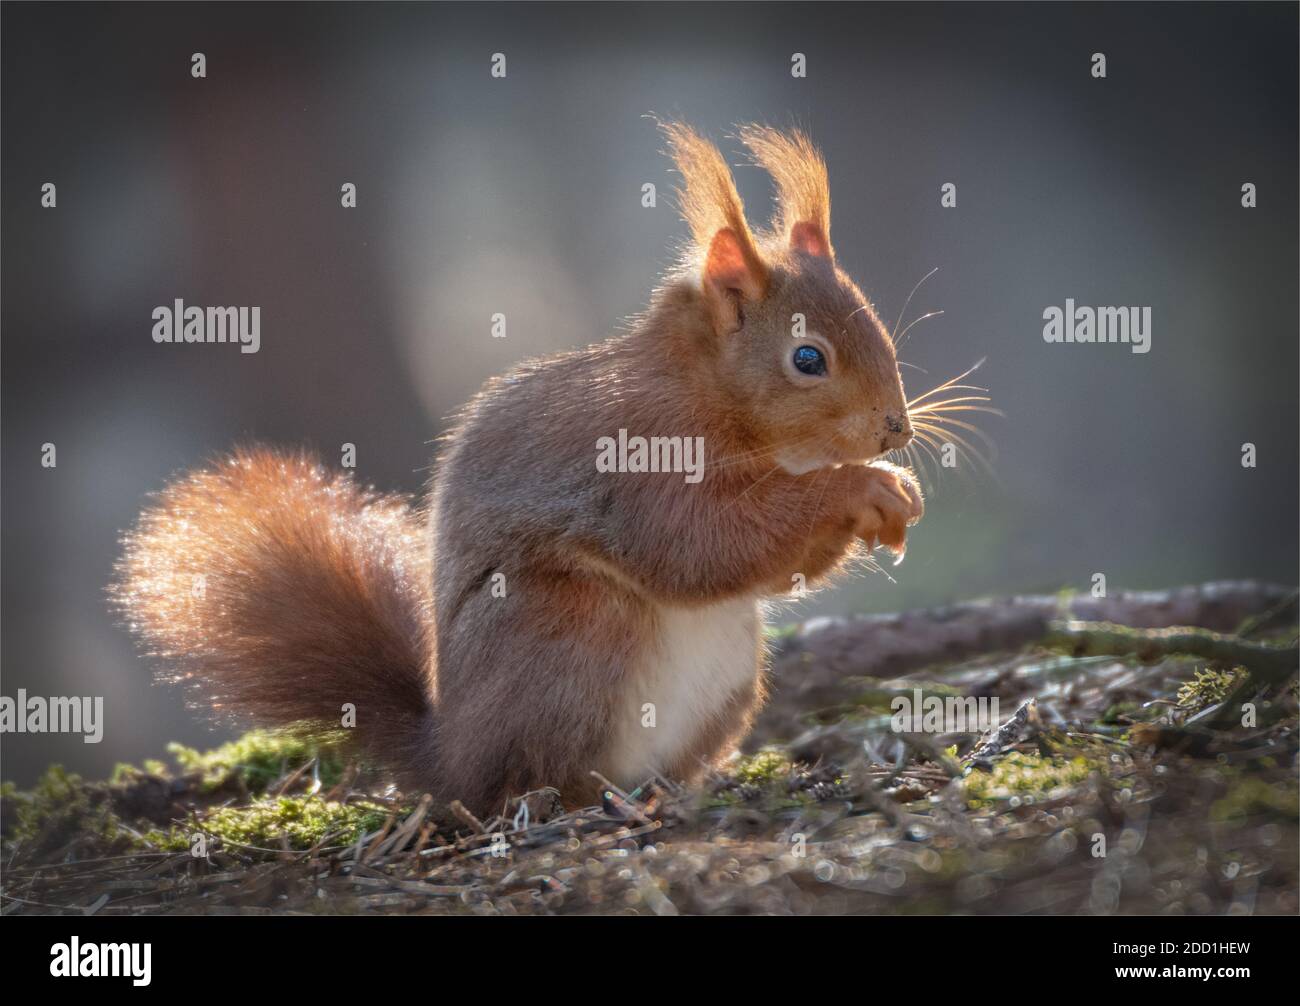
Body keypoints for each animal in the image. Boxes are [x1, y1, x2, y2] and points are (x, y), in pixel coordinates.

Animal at [111, 124, 925, 821]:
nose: (898, 429)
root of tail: (448, 760)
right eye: (808, 358)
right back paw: (578, 799)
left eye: (877, 326)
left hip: (730, 673)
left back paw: (673, 790)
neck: (704, 389)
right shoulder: (635, 458)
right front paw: (862, 487)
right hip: (571, 626)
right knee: (530, 777)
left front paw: (897, 495)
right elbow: (699, 542)